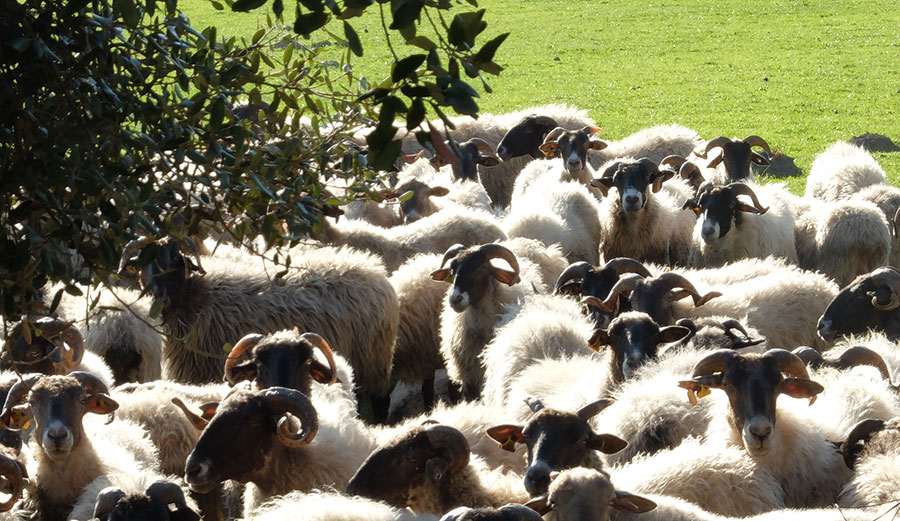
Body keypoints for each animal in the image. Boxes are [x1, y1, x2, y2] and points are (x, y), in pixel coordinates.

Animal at [121, 238, 399, 422]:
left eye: (177, 263)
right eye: (144, 264)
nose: (160, 297)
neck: (196, 297)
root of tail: (375, 270)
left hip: (375, 358)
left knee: (381, 400)